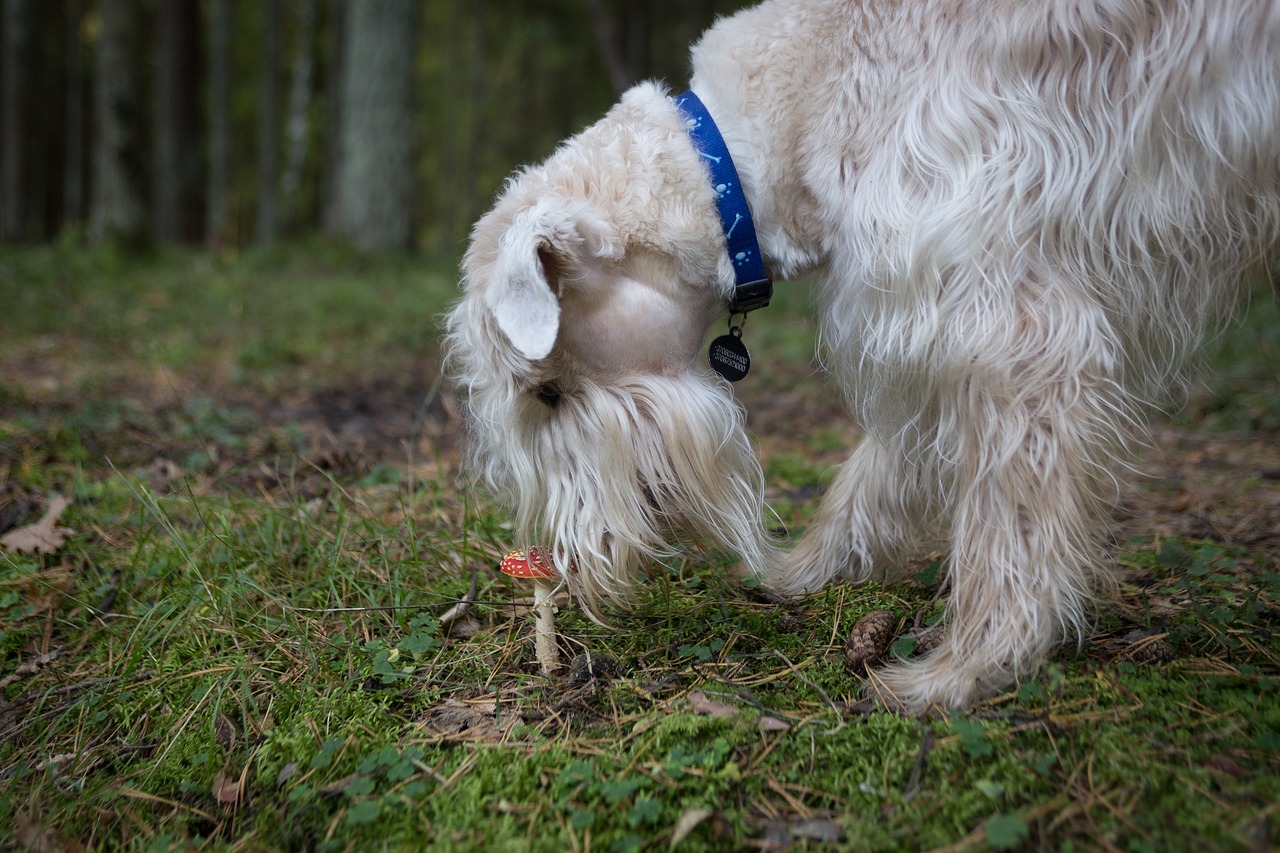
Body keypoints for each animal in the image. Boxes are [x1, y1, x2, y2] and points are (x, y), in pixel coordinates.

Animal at [448, 0, 1280, 701]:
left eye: (548, 391)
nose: (565, 562)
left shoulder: (1006, 329)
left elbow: (1009, 521)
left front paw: (965, 667)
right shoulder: (926, 326)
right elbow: (876, 471)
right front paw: (806, 571)